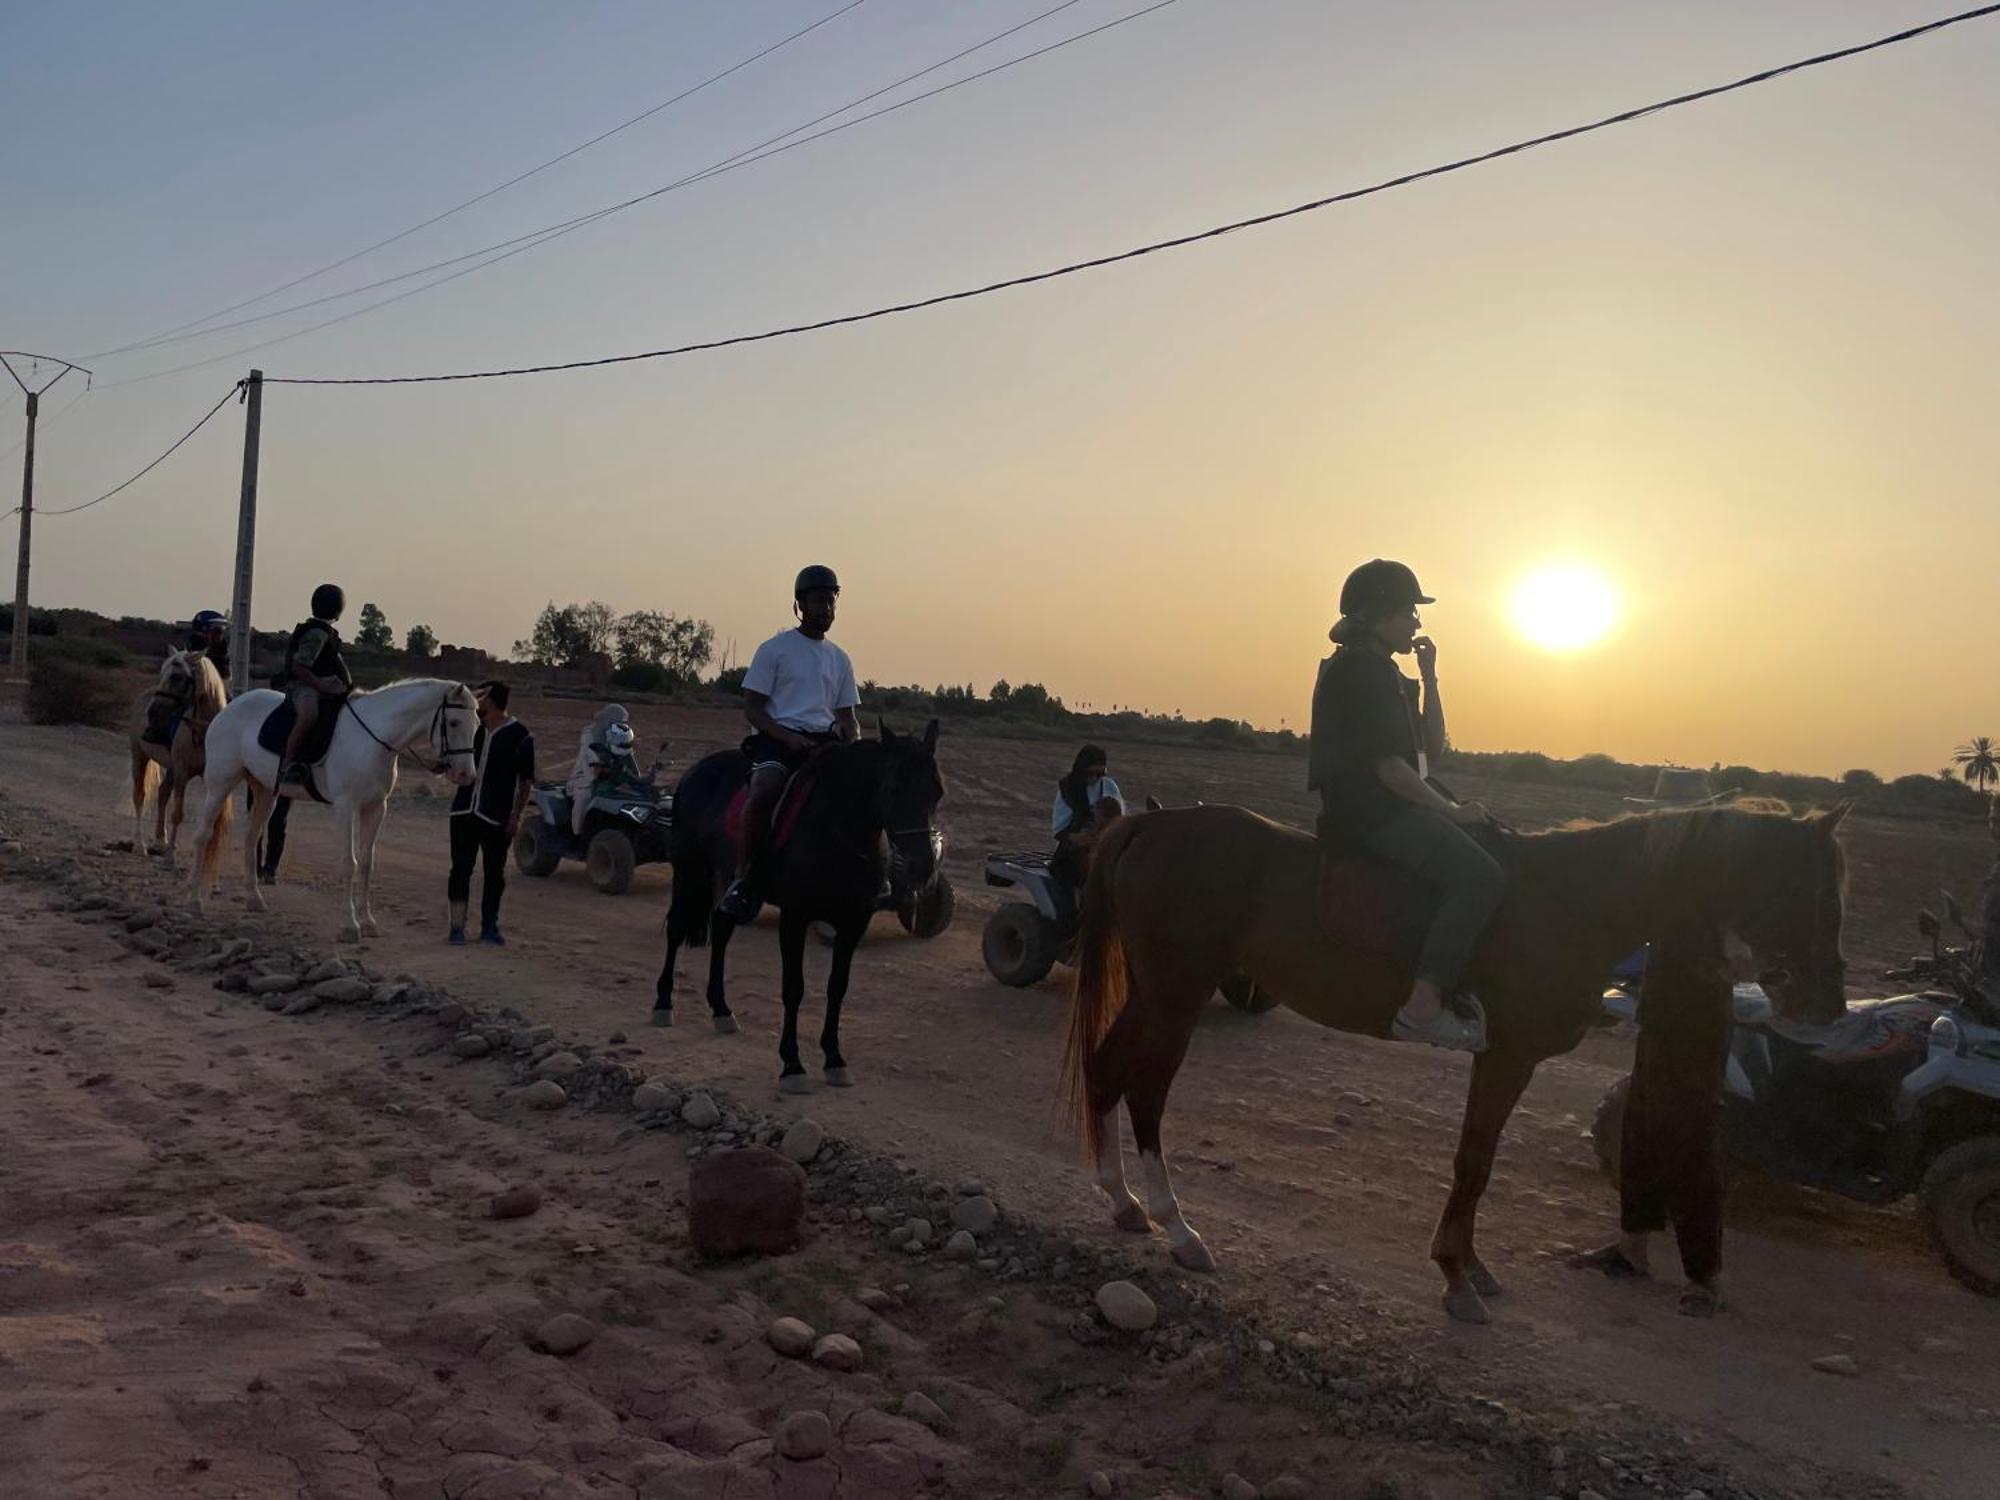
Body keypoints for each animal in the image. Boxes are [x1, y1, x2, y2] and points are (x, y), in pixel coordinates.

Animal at [127, 648, 229, 868]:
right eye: (162, 672)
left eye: (177, 676)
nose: (152, 711)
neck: (204, 731)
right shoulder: (182, 772)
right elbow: (178, 814)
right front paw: (170, 859)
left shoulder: (212, 778)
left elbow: (211, 820)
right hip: (139, 756)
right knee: (139, 796)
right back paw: (141, 844)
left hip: (171, 768)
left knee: (163, 792)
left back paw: (162, 840)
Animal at [190, 680, 480, 940]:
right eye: (454, 722)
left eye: (477, 724)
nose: (466, 775)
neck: (373, 739)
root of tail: (230, 706)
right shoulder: (346, 807)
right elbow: (349, 864)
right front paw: (350, 925)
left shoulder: (376, 808)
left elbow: (366, 863)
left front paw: (368, 922)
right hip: (220, 784)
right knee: (203, 835)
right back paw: (195, 902)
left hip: (265, 792)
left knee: (250, 838)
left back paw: (254, 899)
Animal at [648, 716, 944, 1096]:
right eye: (893, 789)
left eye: (937, 791)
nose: (922, 868)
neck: (840, 828)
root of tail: (694, 771)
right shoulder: (795, 917)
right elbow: (794, 988)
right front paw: (792, 1065)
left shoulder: (854, 921)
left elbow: (837, 987)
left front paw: (834, 1059)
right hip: (687, 867)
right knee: (675, 929)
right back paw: (663, 1003)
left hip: (726, 873)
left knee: (722, 928)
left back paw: (721, 1010)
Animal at [1056, 804, 1848, 1320]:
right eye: (1809, 889)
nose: (1829, 1006)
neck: (1570, 900)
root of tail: (1154, 822)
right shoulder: (1508, 1057)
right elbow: (1474, 1162)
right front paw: (1456, 1275)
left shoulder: (1501, 1058)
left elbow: (1478, 1160)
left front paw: (1470, 1266)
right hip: (1176, 995)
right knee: (1145, 1090)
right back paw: (1178, 1228)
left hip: (1156, 994)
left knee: (1108, 1069)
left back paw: (1123, 1202)